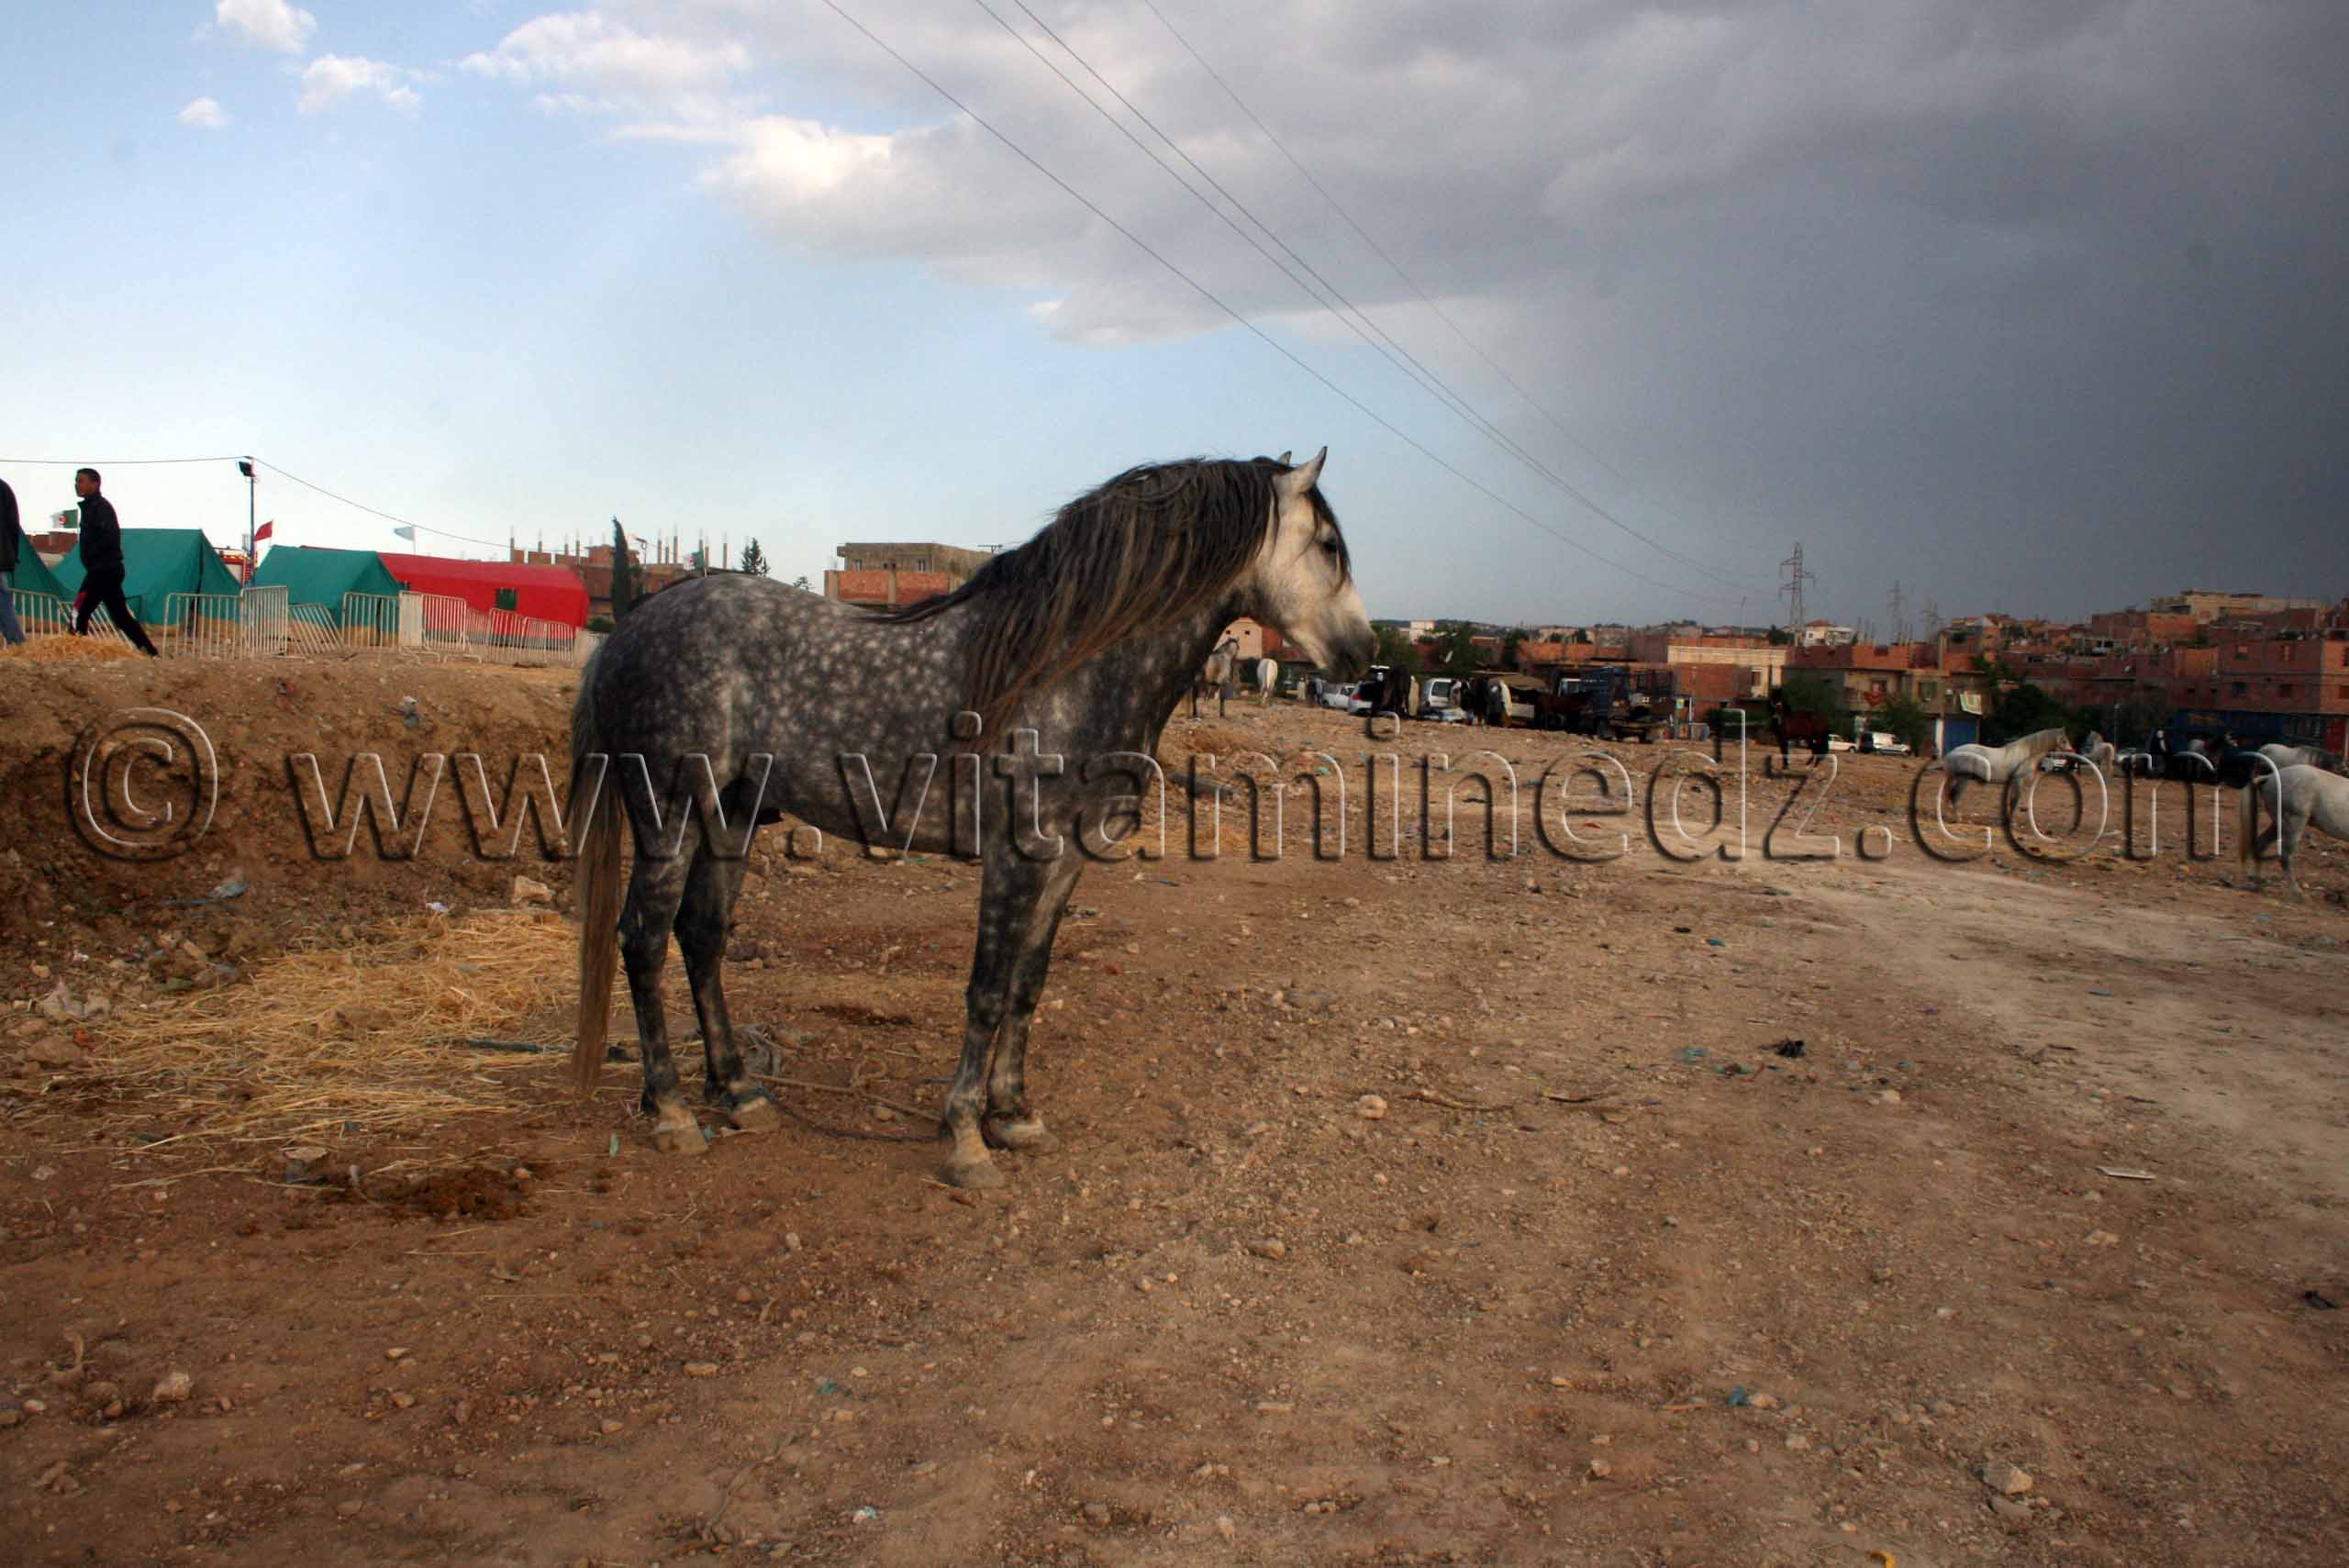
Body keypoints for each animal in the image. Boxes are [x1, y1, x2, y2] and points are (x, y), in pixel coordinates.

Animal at [571, 449, 1372, 1187]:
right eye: (1329, 545)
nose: (1363, 655)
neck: (1067, 669)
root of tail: (628, 629)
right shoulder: (1016, 856)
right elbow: (986, 990)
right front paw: (964, 1137)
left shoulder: (1067, 859)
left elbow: (1028, 983)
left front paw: (1013, 1115)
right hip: (670, 815)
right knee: (642, 940)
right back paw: (672, 1110)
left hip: (731, 816)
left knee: (702, 936)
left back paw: (739, 1092)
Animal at [1941, 727, 2073, 810]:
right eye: (2064, 740)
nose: (2072, 751)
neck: (2027, 755)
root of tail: (1953, 752)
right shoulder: (2018, 781)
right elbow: (2015, 801)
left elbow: (2011, 801)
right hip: (1963, 779)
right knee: (1955, 796)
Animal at [2240, 763, 2349, 899]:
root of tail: (2269, 777)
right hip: (2293, 824)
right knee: (2285, 857)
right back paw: (2297, 894)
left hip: (2278, 825)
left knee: (2261, 845)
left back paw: (2256, 882)